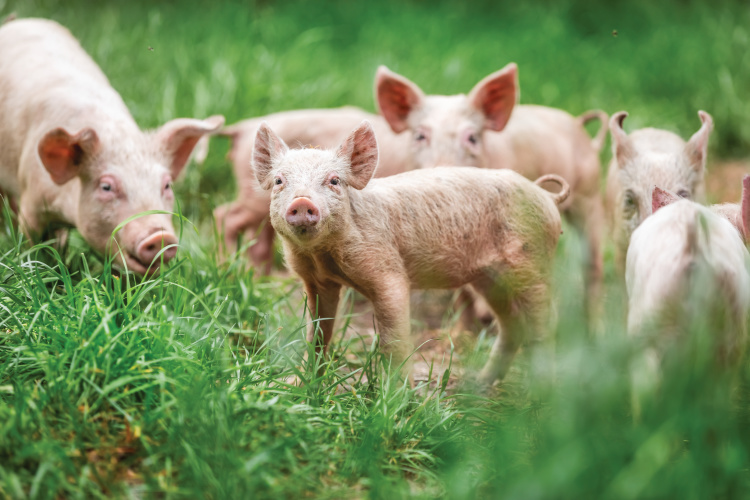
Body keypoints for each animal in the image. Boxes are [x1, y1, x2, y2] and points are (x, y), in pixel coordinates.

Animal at [253, 120, 569, 385]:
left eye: (334, 181)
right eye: (279, 181)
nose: (302, 202)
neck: (323, 256)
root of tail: (546, 196)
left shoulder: (388, 273)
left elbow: (392, 339)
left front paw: (395, 397)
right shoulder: (318, 281)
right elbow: (317, 333)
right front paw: (302, 385)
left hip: (532, 265)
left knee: (545, 323)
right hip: (490, 278)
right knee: (512, 325)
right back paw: (479, 384)